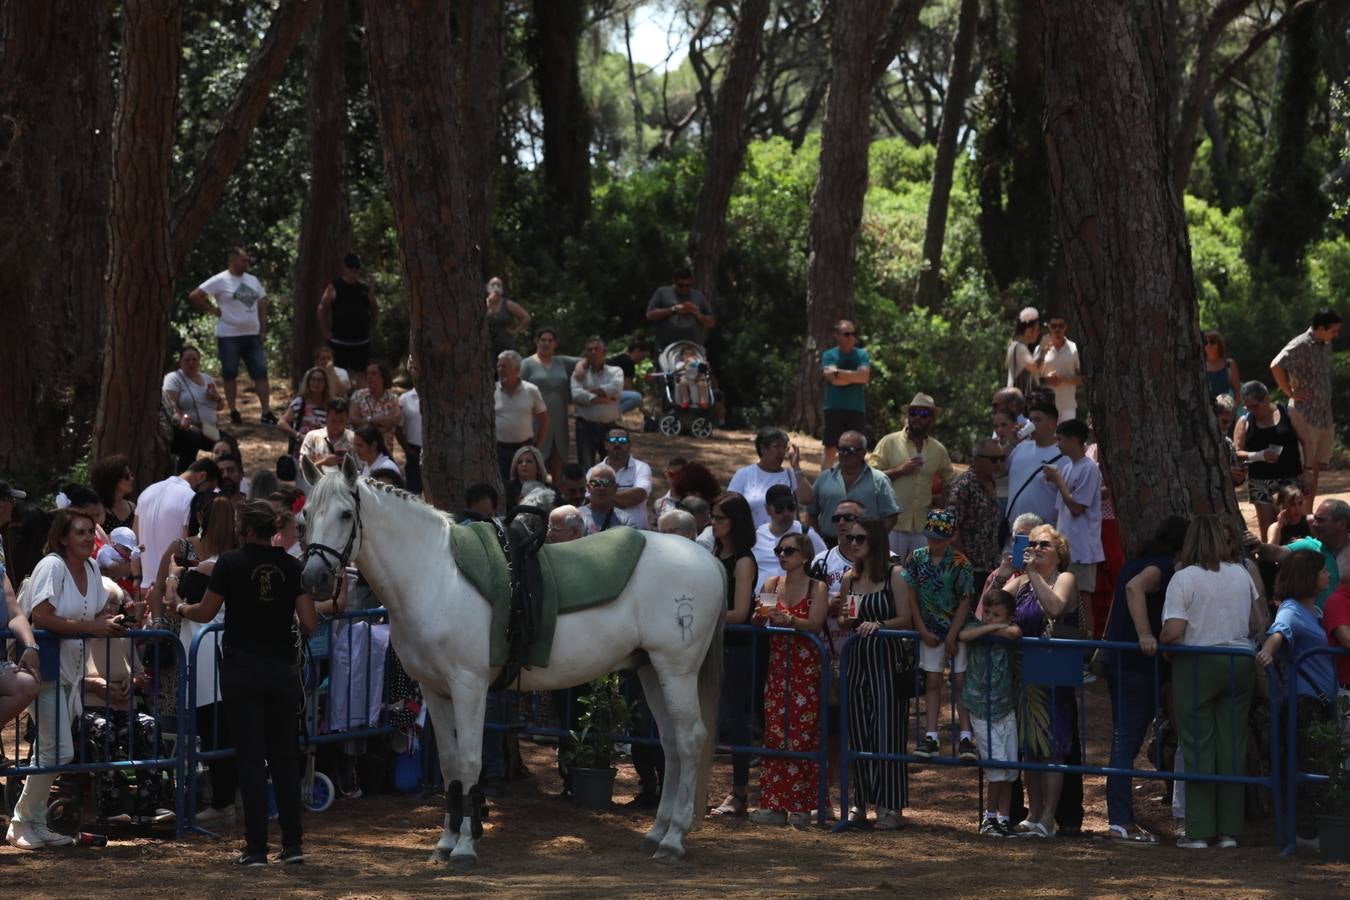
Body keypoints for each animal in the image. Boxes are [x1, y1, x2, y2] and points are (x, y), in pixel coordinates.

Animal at [297, 461, 729, 868]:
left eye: (345, 514)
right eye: (306, 517)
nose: (314, 578)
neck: (438, 578)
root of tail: (708, 561)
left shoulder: (469, 686)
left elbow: (470, 761)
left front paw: (465, 848)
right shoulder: (436, 692)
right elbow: (451, 765)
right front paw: (445, 843)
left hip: (676, 671)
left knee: (689, 740)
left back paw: (674, 840)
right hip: (651, 670)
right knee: (671, 744)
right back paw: (657, 834)